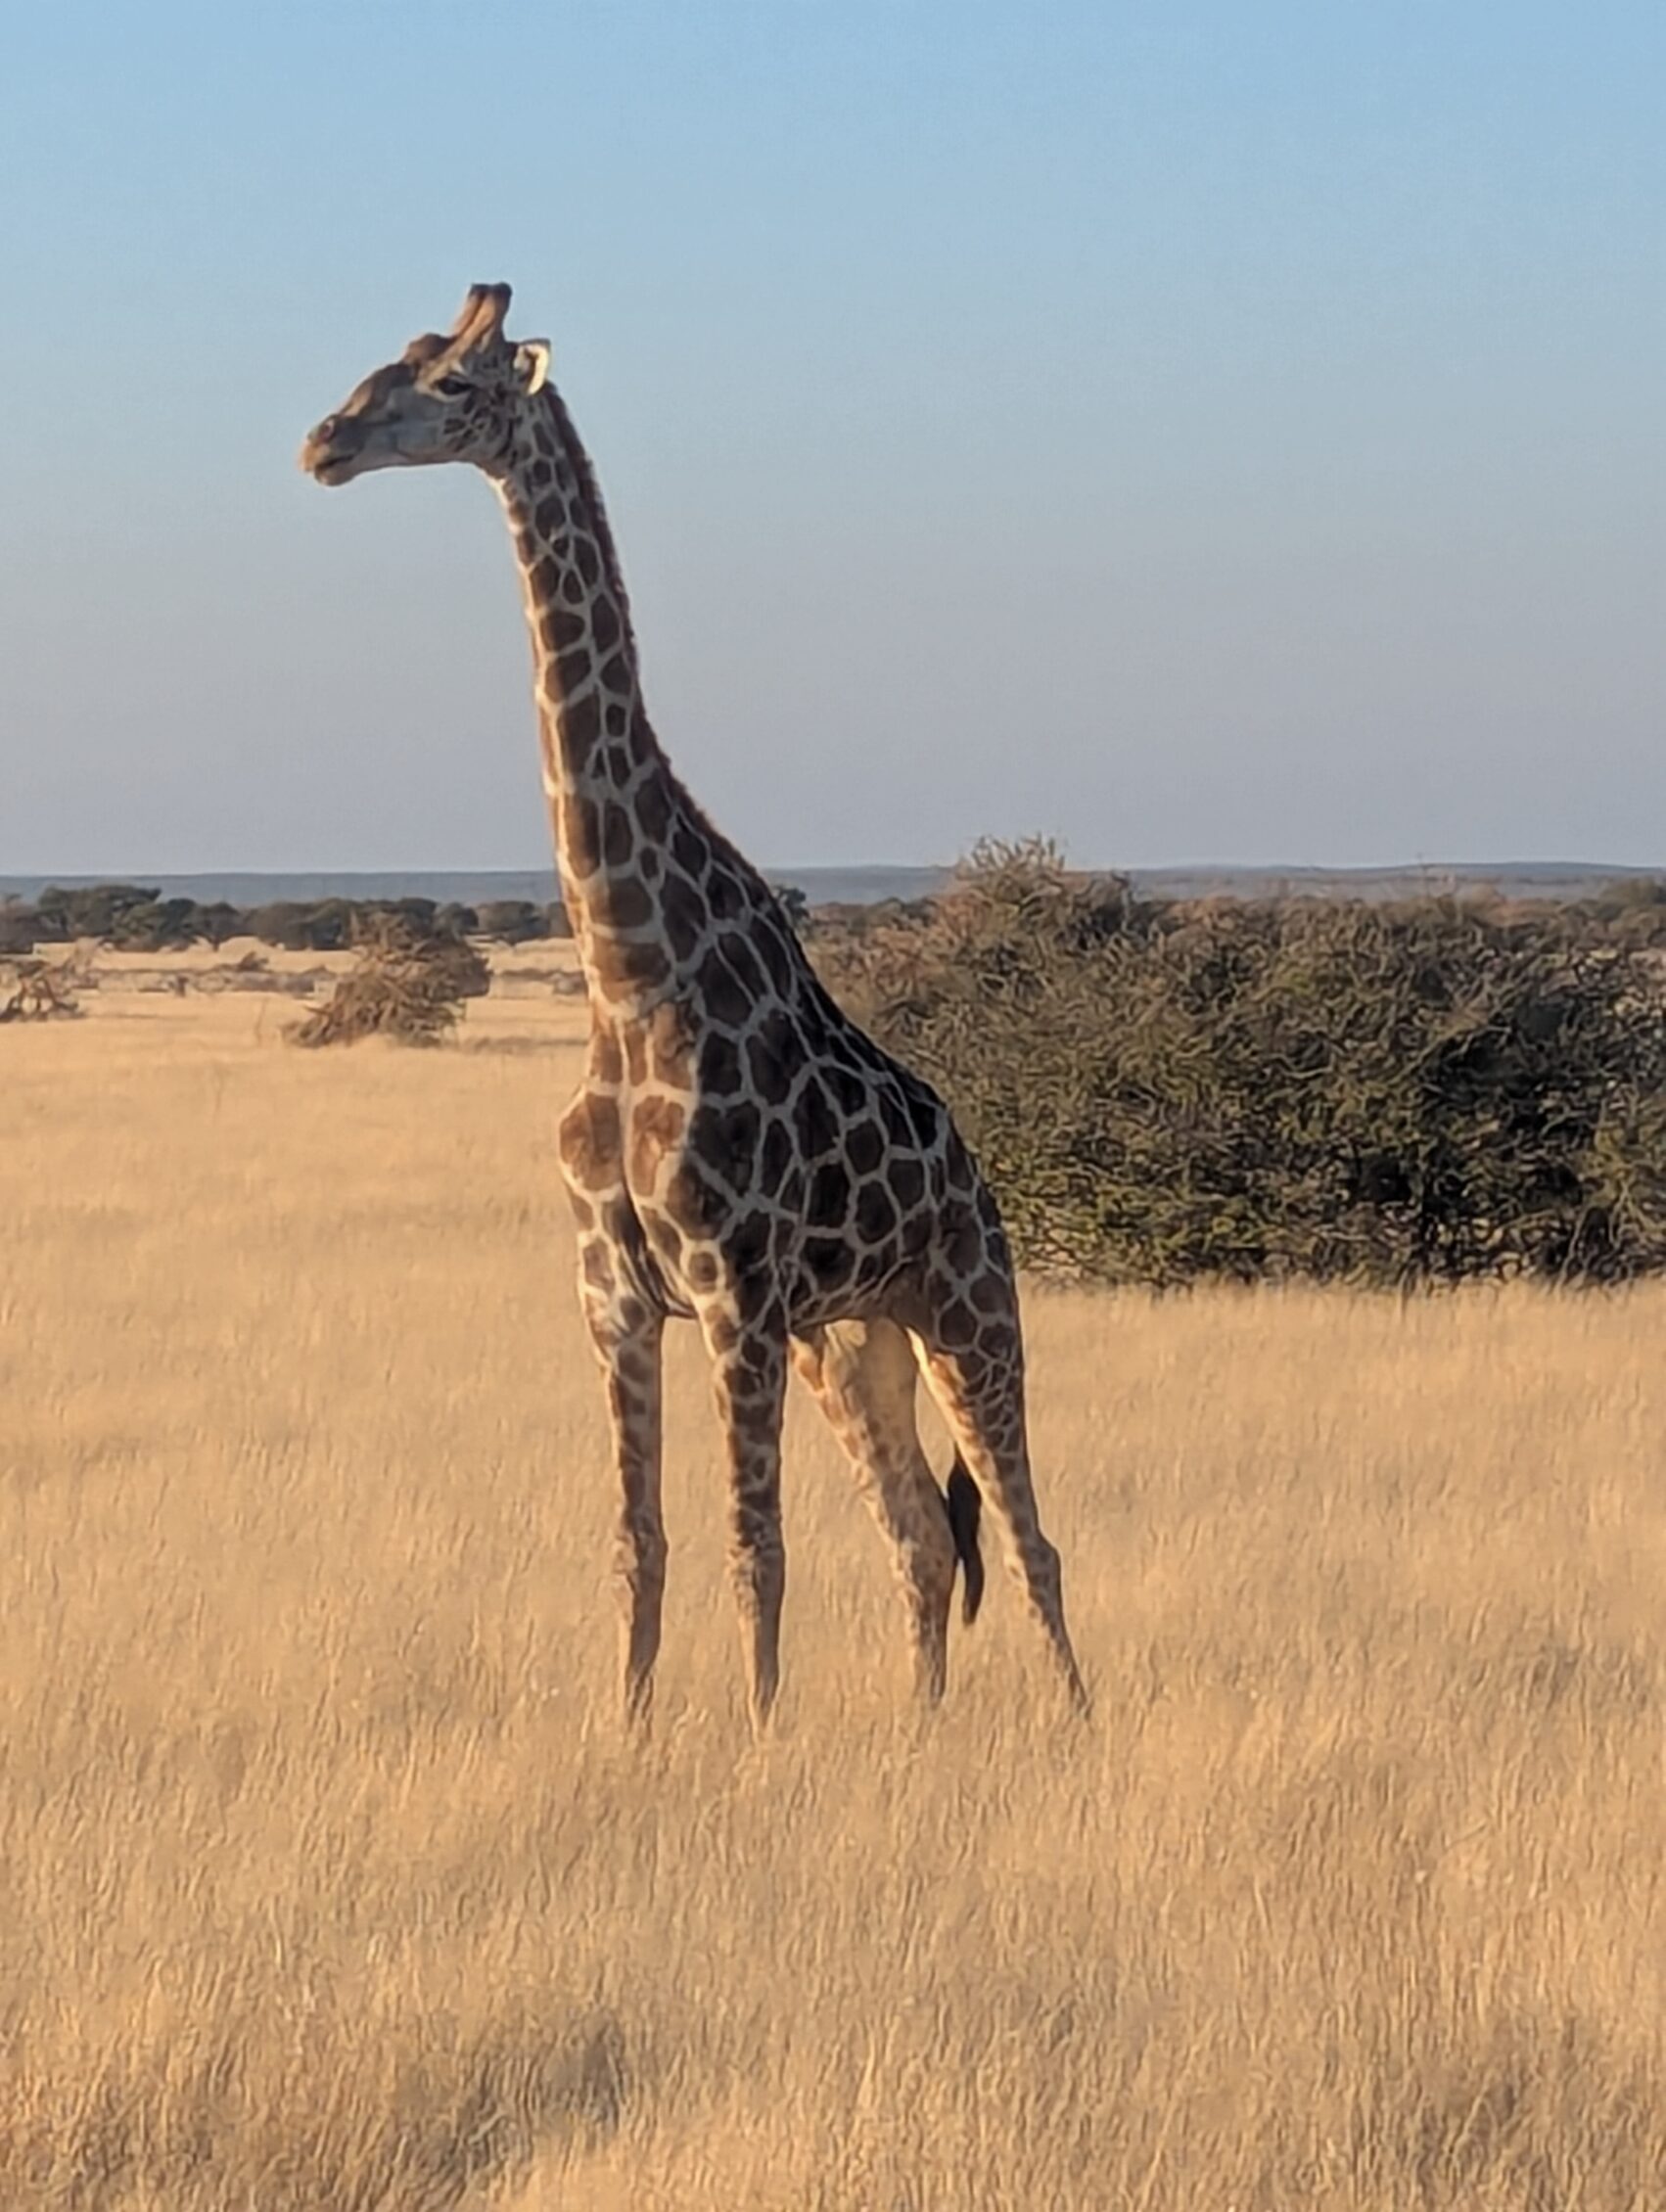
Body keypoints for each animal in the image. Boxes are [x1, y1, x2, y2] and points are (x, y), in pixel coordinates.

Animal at [301, 283, 1087, 1729]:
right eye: (389, 361)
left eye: (452, 387)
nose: (322, 443)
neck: (626, 975)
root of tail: (977, 1176)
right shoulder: (612, 1291)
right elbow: (640, 1540)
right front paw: (629, 1739)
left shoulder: (731, 1292)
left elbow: (750, 1543)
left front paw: (760, 1744)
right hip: (851, 1341)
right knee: (920, 1536)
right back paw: (920, 1736)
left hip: (968, 1312)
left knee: (1022, 1536)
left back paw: (1076, 1727)